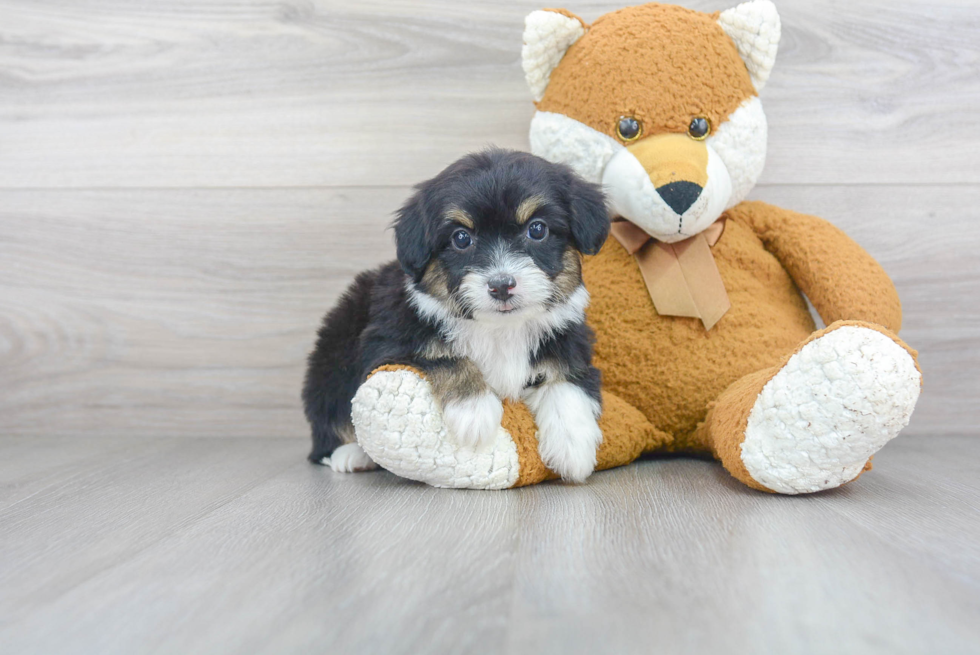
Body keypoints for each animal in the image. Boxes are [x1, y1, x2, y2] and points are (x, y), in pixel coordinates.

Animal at [306, 147, 608, 482]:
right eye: (462, 238)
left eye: (537, 229)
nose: (501, 285)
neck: (500, 328)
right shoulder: (387, 342)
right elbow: (443, 355)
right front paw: (474, 411)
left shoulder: (571, 341)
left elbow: (568, 381)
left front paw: (574, 447)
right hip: (334, 354)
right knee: (329, 421)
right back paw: (350, 454)